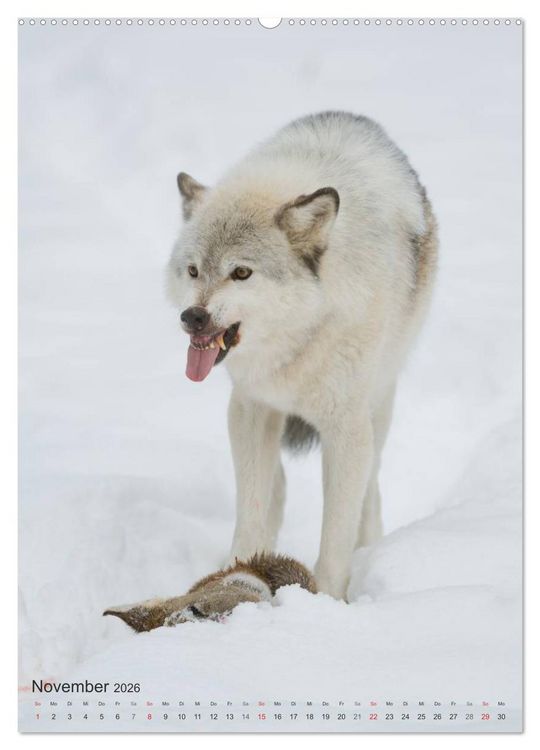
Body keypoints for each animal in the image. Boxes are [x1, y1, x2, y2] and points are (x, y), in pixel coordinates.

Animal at [166, 111, 437, 600]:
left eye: (241, 273)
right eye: (193, 270)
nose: (193, 317)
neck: (300, 336)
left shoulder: (346, 430)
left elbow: (337, 534)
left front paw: (327, 603)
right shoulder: (251, 407)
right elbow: (251, 510)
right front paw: (235, 574)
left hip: (378, 406)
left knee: (370, 491)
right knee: (274, 487)